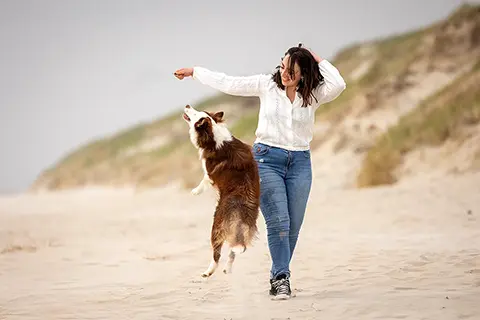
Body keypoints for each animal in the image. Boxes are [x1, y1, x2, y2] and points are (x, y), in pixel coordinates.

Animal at [182, 104, 260, 278]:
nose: (187, 105)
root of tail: (241, 213)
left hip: (216, 226)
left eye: (195, 114)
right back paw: (227, 269)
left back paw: (208, 272)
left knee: (217, 254)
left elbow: (204, 178)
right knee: (235, 249)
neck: (213, 134)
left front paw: (195, 191)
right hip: (239, 232)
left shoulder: (209, 172)